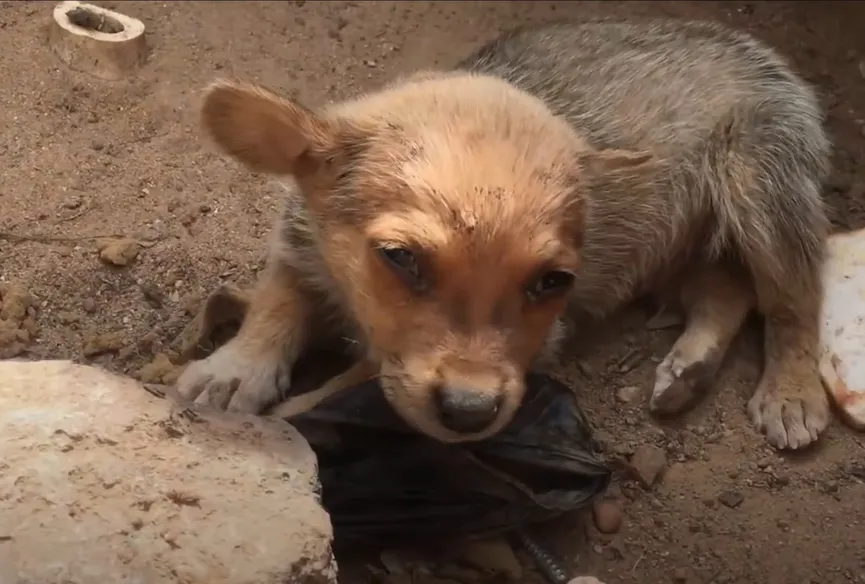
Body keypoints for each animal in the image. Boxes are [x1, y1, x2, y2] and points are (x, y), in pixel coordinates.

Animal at [176, 17, 832, 448]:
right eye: (399, 258)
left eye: (554, 282)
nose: (471, 413)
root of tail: (750, 46)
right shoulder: (298, 243)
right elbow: (276, 303)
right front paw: (234, 371)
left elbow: (337, 390)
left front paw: (288, 413)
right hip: (678, 252)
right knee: (728, 290)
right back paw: (689, 367)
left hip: (762, 187)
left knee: (793, 298)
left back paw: (793, 392)